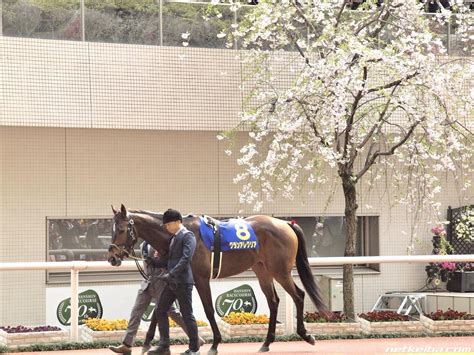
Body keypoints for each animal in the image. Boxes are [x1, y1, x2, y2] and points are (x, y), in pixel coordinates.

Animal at [107, 204, 326, 354]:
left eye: (121, 230)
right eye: (112, 229)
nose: (112, 258)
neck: (176, 234)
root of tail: (286, 224)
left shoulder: (200, 278)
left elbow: (208, 310)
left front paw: (214, 344)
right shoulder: (175, 279)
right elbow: (160, 309)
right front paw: (144, 345)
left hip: (280, 271)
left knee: (298, 295)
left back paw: (306, 335)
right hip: (262, 270)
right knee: (273, 301)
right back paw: (266, 342)